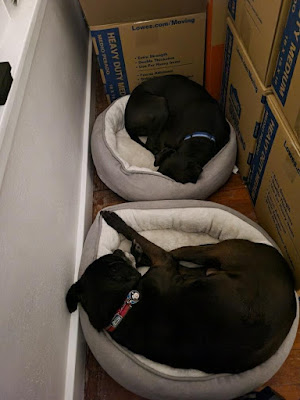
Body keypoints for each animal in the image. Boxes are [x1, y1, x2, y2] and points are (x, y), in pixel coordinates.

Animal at [66, 211, 296, 374]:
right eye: (115, 260)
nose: (117, 251)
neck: (120, 307)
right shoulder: (164, 263)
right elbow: (150, 246)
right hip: (213, 253)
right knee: (178, 256)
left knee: (179, 258)